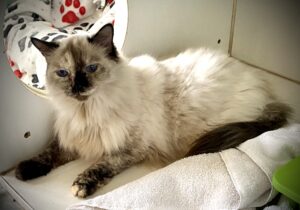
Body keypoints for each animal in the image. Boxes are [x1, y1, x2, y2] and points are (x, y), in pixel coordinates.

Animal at [14, 23, 290, 198]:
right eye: (63, 73)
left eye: (92, 68)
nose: (77, 87)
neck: (89, 110)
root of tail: (265, 92)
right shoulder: (75, 138)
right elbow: (50, 152)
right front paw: (24, 170)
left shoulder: (130, 149)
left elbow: (102, 165)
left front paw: (81, 186)